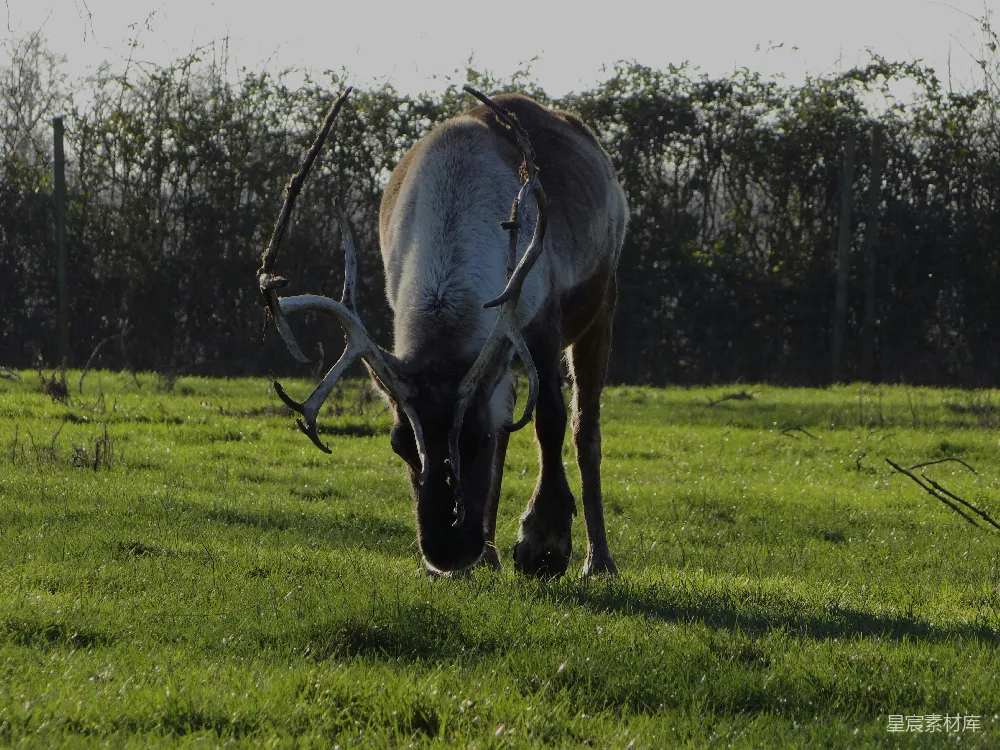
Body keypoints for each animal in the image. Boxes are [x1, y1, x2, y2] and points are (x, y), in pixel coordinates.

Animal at [257, 86, 628, 577]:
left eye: (475, 440)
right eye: (398, 445)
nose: (446, 551)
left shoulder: (541, 323)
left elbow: (549, 419)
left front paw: (543, 543)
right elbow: (509, 426)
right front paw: (492, 550)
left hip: (602, 303)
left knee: (586, 425)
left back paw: (598, 559)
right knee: (514, 420)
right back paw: (490, 552)